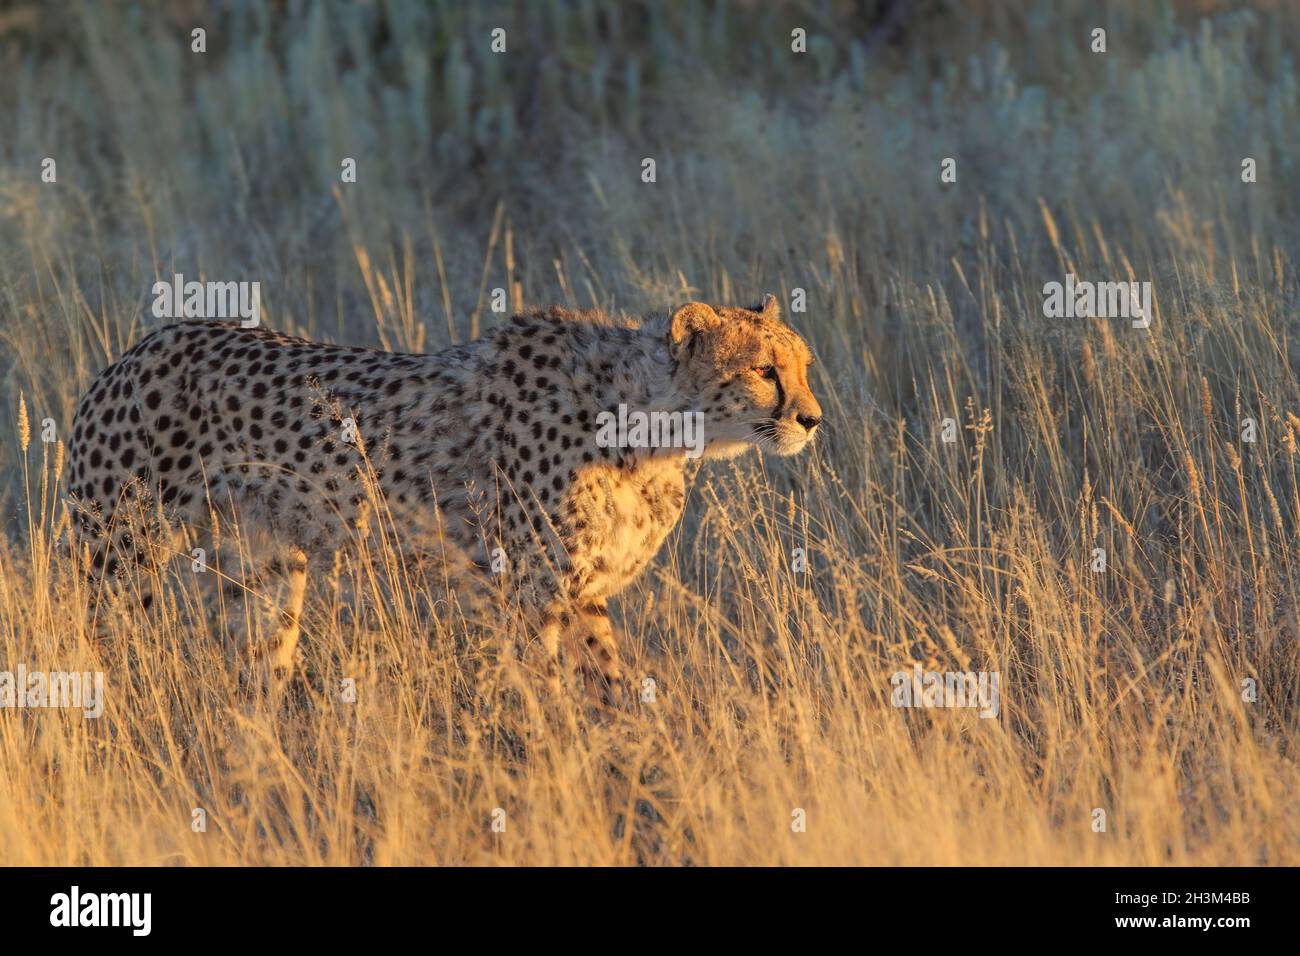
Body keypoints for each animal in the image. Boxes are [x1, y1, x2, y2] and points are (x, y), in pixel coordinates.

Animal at [66, 294, 823, 700]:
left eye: (803, 365)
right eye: (764, 370)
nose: (813, 418)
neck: (650, 423)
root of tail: (139, 347)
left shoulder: (580, 591)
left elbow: (608, 683)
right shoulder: (529, 589)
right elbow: (544, 690)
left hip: (261, 568)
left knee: (259, 670)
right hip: (121, 555)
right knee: (95, 649)